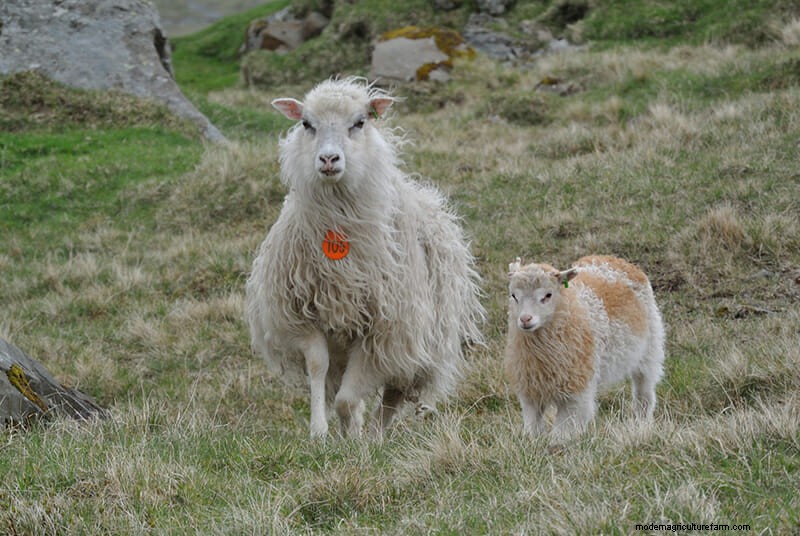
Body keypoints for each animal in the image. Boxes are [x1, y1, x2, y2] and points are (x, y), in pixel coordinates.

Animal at [245, 77, 485, 438]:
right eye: (307, 124)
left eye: (359, 122)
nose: (329, 159)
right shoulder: (301, 315)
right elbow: (318, 367)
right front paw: (321, 431)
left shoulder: (382, 328)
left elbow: (348, 398)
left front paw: (357, 438)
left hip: (415, 341)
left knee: (394, 392)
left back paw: (376, 435)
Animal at [504, 255, 665, 439]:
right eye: (514, 296)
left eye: (548, 295)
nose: (525, 319)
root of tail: (612, 259)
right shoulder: (530, 390)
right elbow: (533, 425)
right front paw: (532, 440)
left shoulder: (576, 391)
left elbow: (563, 430)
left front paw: (558, 443)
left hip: (651, 347)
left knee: (644, 390)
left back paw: (642, 422)